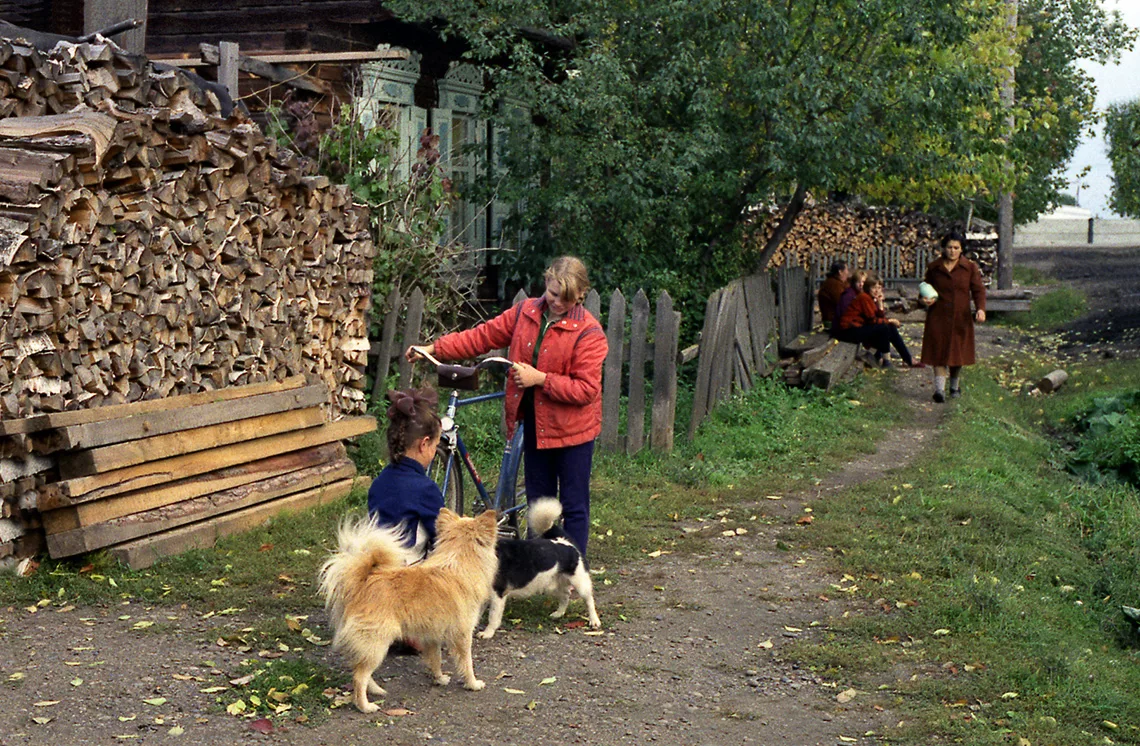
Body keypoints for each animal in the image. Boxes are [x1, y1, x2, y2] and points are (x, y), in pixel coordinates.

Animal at [321, 508, 499, 711]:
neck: (458, 562)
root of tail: (362, 581)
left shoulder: (432, 636)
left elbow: (435, 659)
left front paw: (439, 678)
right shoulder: (462, 634)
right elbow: (467, 662)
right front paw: (473, 683)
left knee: (360, 669)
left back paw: (376, 690)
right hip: (377, 641)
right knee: (359, 677)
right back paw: (365, 706)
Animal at [476, 499, 601, 638]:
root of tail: (565, 542)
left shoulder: (498, 594)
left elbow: (493, 617)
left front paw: (487, 633)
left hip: (580, 583)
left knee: (589, 600)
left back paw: (594, 621)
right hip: (551, 585)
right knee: (565, 595)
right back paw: (559, 613)